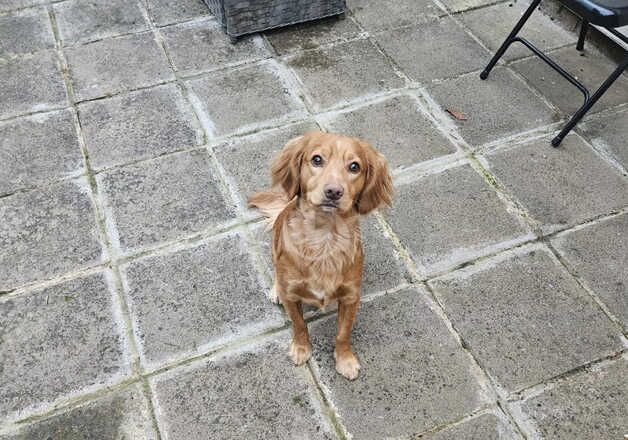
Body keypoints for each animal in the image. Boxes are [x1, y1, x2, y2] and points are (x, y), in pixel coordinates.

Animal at [247, 130, 390, 378]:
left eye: (354, 166)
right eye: (316, 159)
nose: (334, 191)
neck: (324, 238)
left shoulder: (351, 297)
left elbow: (343, 333)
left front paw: (345, 359)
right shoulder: (292, 295)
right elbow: (299, 325)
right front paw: (301, 348)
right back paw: (275, 289)